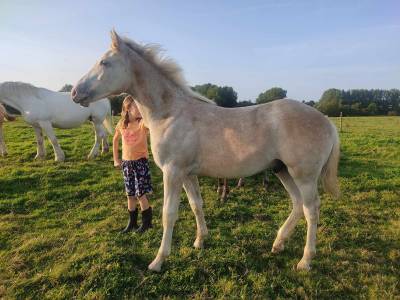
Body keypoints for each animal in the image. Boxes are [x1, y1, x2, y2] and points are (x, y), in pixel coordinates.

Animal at [70, 30, 340, 272]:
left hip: (304, 176)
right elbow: (196, 205)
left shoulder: (172, 172)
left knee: (311, 209)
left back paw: (305, 260)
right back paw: (278, 243)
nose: (74, 92)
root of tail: (328, 123)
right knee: (297, 204)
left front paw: (158, 261)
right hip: (281, 170)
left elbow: (169, 214)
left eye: (104, 62)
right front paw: (200, 240)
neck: (170, 112)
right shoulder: (188, 174)